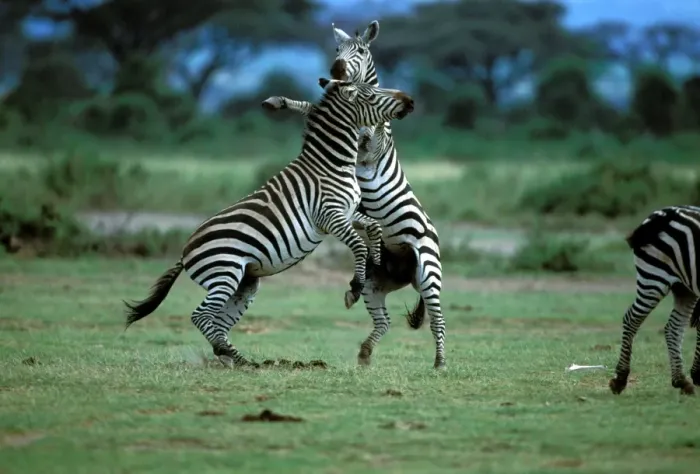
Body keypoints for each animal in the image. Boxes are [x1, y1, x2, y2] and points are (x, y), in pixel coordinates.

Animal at [123, 78, 415, 367]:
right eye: (371, 94)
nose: (411, 101)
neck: (333, 165)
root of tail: (184, 254)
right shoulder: (329, 216)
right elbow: (358, 244)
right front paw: (354, 287)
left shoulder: (348, 212)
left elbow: (373, 227)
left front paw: (376, 261)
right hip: (225, 273)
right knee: (201, 316)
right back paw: (234, 357)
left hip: (244, 283)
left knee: (219, 323)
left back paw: (235, 358)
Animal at [261, 21, 446, 370]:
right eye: (337, 49)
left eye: (359, 50)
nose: (335, 69)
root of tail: (406, 274)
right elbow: (311, 107)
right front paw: (278, 101)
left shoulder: (373, 146)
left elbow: (368, 133)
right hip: (376, 282)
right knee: (384, 321)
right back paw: (364, 352)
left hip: (429, 270)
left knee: (438, 319)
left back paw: (440, 363)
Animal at [609, 205, 700, 395]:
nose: (698, 377)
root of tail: (664, 212)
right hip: (654, 278)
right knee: (631, 319)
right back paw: (620, 379)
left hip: (684, 287)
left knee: (673, 327)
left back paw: (681, 381)